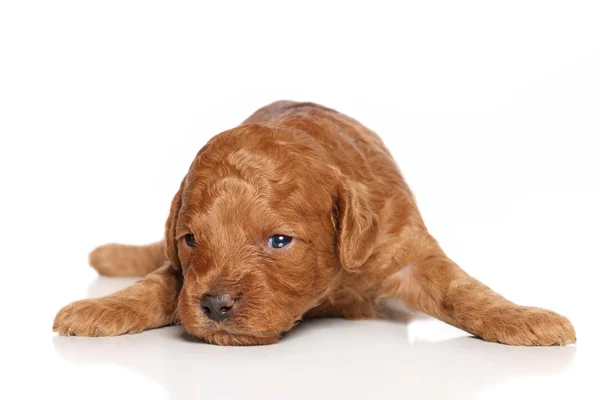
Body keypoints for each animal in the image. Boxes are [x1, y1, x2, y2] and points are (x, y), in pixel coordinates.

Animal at [52, 101, 576, 346]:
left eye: (280, 240)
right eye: (191, 240)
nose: (215, 306)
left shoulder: (403, 246)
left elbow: (464, 290)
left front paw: (528, 319)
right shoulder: (182, 271)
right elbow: (156, 284)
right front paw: (97, 309)